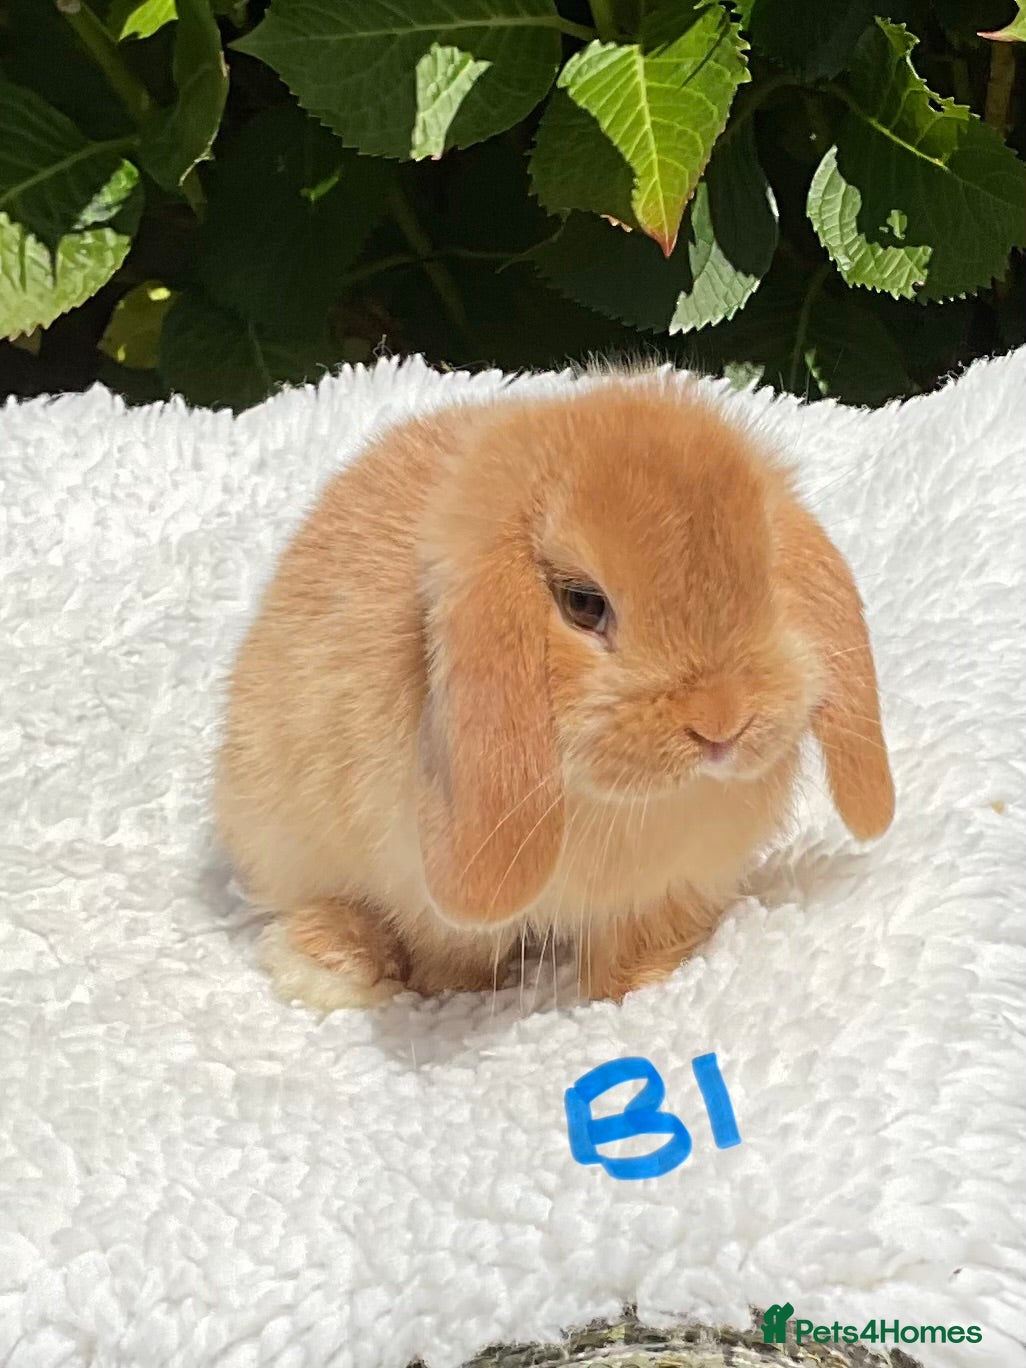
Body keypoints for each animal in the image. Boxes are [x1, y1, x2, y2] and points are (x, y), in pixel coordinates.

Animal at [213, 375, 895, 1011]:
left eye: (766, 575)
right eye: (583, 604)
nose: (721, 722)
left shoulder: (670, 889)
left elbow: (638, 948)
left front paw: (640, 989)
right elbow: (449, 953)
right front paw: (455, 993)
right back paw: (330, 963)